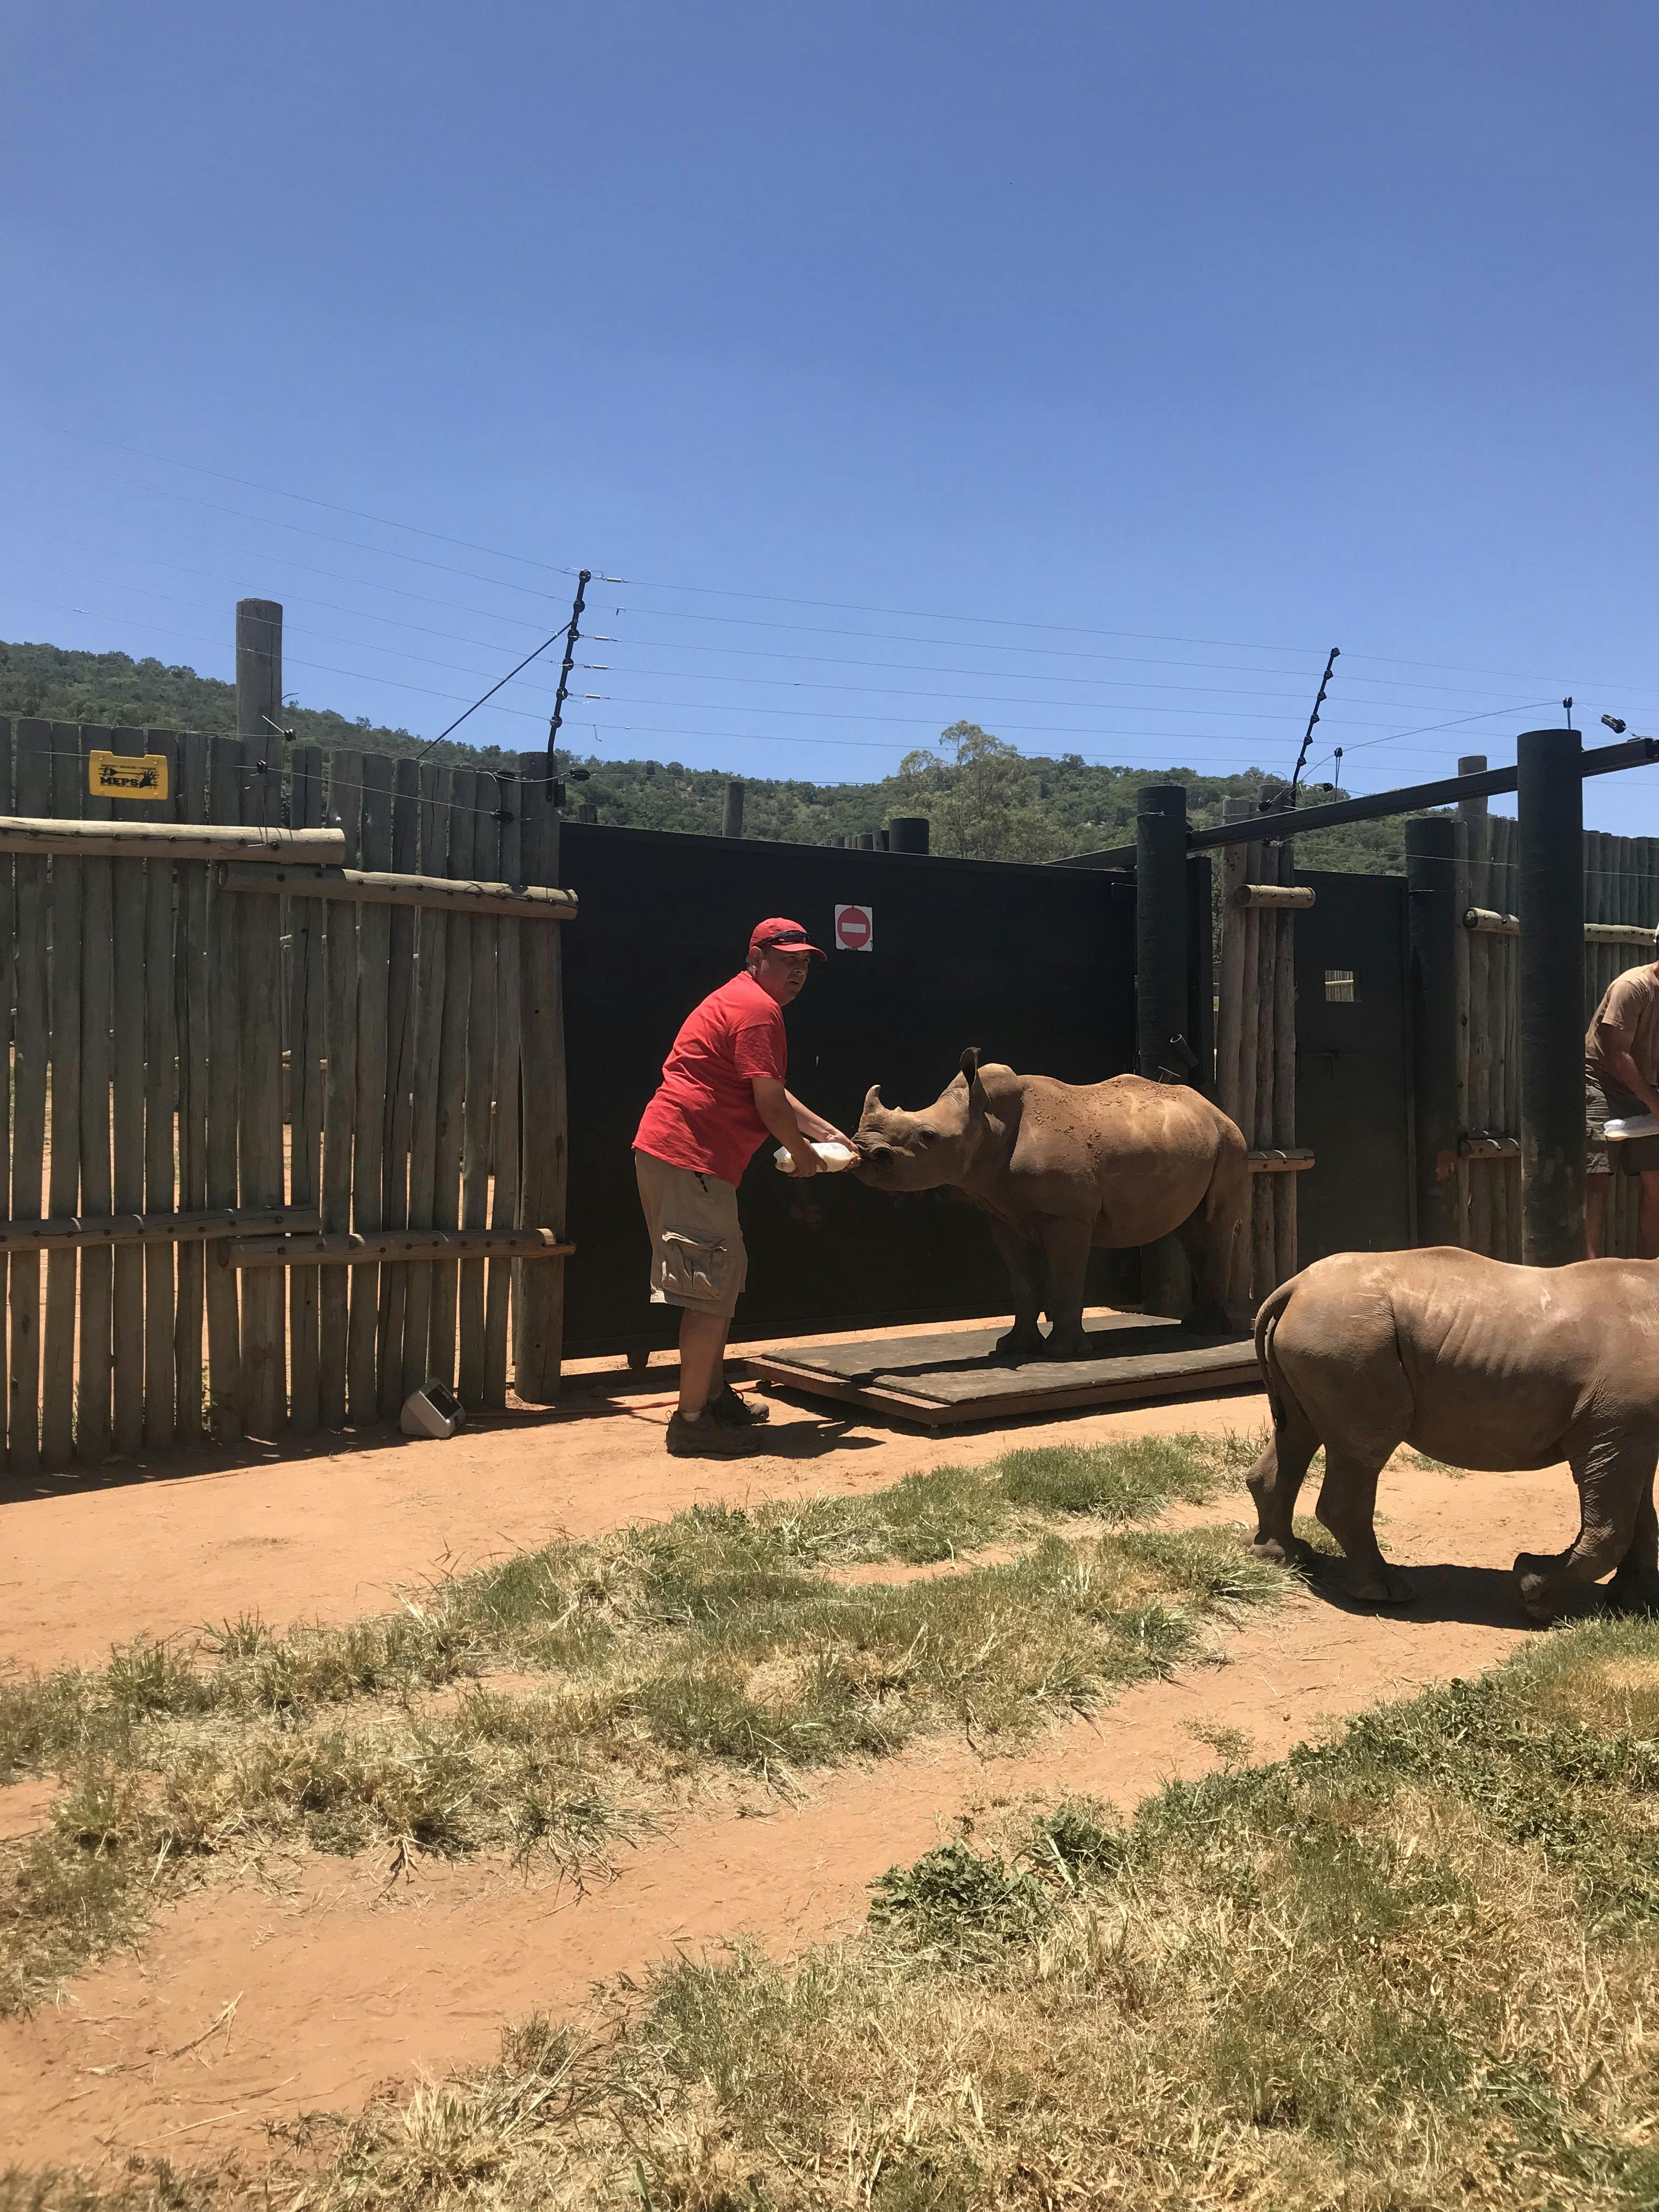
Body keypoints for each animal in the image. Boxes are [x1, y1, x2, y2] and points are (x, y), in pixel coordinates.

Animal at [852, 1050, 1250, 1360]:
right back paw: (1196, 1326)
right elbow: (1023, 1282)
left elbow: (1065, 1276)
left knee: (1214, 1224)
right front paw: (1014, 1347)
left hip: (1231, 1143)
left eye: (929, 1137)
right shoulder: (1002, 1214)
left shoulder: (1068, 1215)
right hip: (1197, 1140)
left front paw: (1063, 1354)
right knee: (1191, 1228)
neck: (988, 1120)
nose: (864, 1149)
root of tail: (1215, 1109)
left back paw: (1209, 1331)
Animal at [1246, 1247, 1659, 1623]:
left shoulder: (1632, 1432)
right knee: (1363, 1447)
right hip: (1345, 1336)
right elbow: (1613, 1529)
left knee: (1298, 1432)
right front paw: (1531, 1589)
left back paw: (1282, 1557)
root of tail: (1295, 1286)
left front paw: (1637, 1605)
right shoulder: (1612, 1429)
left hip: (1326, 1333)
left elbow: (1641, 1516)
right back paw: (1386, 1594)